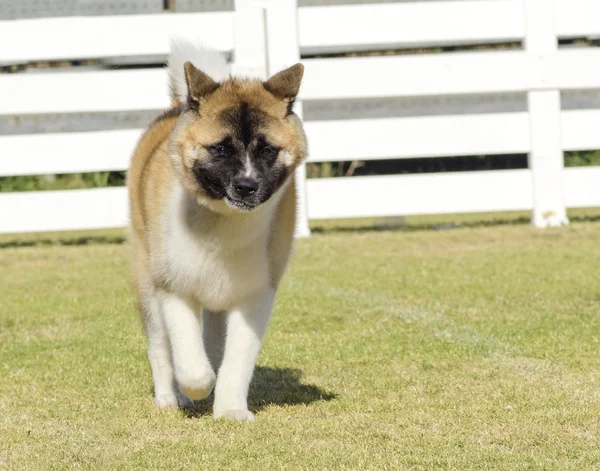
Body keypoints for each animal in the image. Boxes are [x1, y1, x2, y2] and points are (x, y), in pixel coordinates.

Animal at [128, 40, 308, 422]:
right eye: (221, 148)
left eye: (267, 149)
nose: (246, 186)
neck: (223, 221)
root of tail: (176, 107)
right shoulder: (174, 288)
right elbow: (192, 365)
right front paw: (196, 389)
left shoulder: (255, 294)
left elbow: (236, 361)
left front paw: (230, 410)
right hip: (147, 282)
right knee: (160, 346)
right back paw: (169, 396)